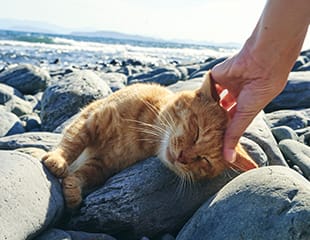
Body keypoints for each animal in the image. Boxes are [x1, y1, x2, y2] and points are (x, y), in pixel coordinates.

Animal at [42, 71, 258, 208]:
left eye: (204, 160)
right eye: (197, 132)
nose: (182, 157)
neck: (143, 132)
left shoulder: (102, 165)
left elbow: (83, 174)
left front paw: (72, 188)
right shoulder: (91, 117)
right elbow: (73, 141)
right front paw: (58, 160)